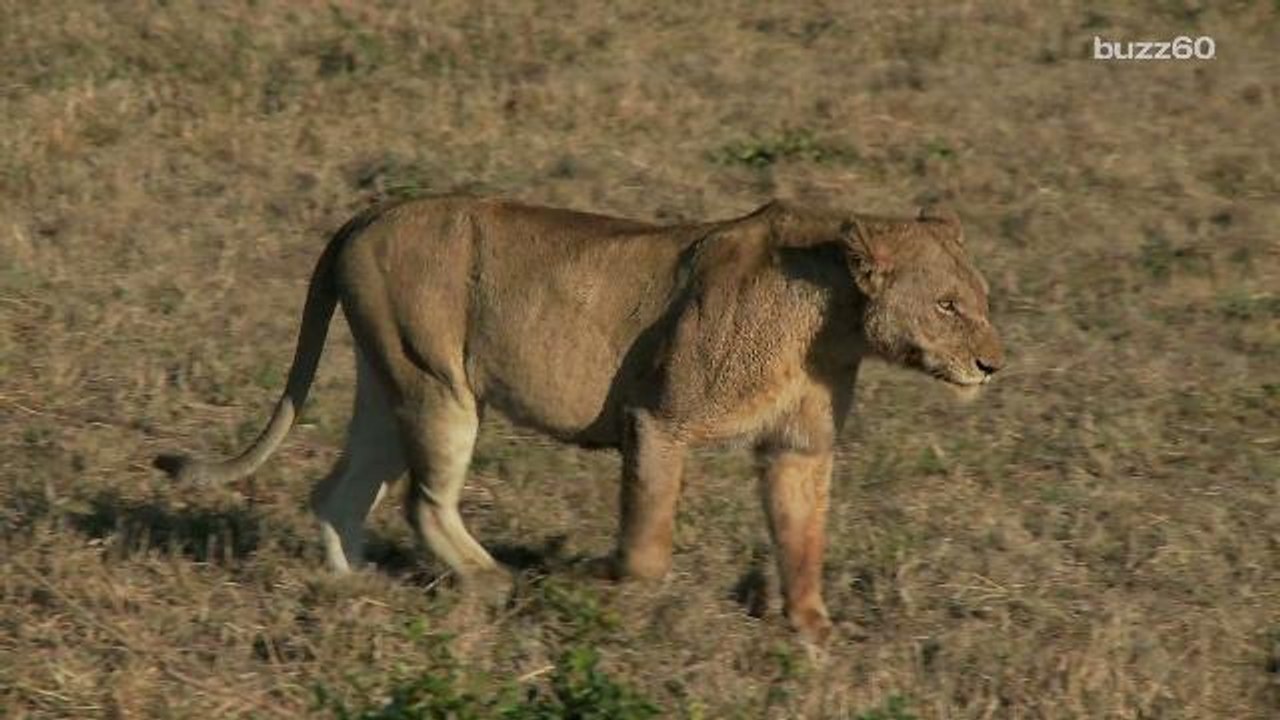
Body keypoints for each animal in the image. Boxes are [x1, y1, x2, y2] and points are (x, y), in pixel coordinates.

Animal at [156, 195, 1003, 643]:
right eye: (947, 305)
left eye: (981, 300)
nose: (993, 364)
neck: (832, 327)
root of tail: (371, 212)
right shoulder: (659, 419)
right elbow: (648, 545)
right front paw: (595, 581)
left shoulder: (798, 448)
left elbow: (803, 542)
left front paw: (813, 632)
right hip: (438, 385)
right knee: (424, 501)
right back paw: (494, 581)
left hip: (389, 381)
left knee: (341, 491)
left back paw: (352, 594)